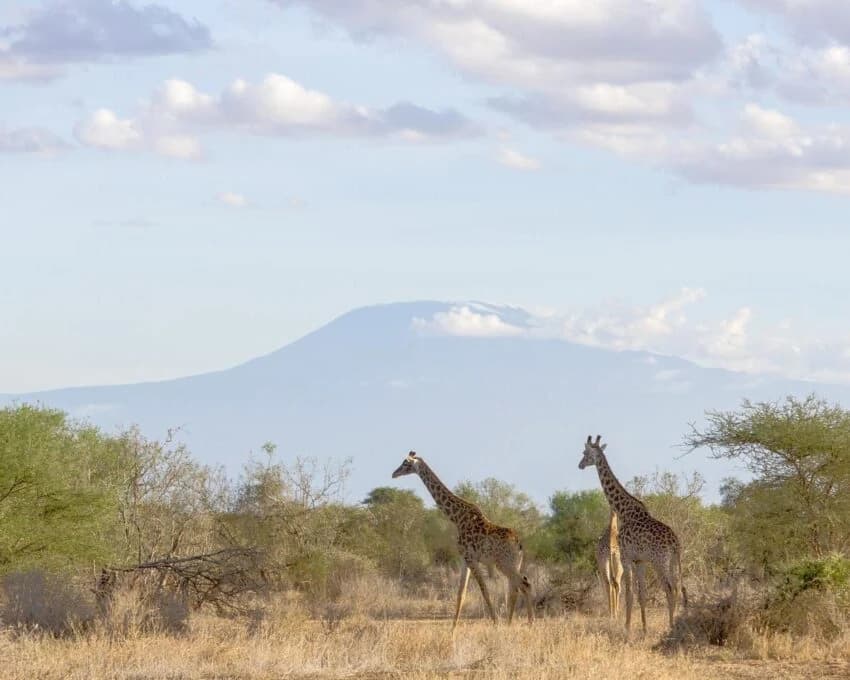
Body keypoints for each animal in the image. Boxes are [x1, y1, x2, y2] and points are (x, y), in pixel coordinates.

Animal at [392, 451, 533, 631]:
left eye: (405, 463)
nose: (394, 474)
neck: (456, 517)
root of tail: (519, 544)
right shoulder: (464, 559)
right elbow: (461, 594)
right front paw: (452, 630)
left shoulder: (471, 558)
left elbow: (484, 590)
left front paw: (495, 623)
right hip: (513, 564)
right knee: (517, 587)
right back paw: (513, 623)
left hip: (505, 564)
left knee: (524, 585)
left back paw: (529, 623)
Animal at [578, 435, 687, 634]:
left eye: (585, 452)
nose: (580, 465)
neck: (624, 511)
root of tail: (675, 542)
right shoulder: (640, 560)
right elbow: (642, 593)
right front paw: (644, 628)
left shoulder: (626, 556)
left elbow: (629, 592)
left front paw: (627, 627)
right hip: (673, 561)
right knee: (677, 587)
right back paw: (673, 623)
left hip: (659, 561)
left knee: (669, 588)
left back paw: (671, 626)